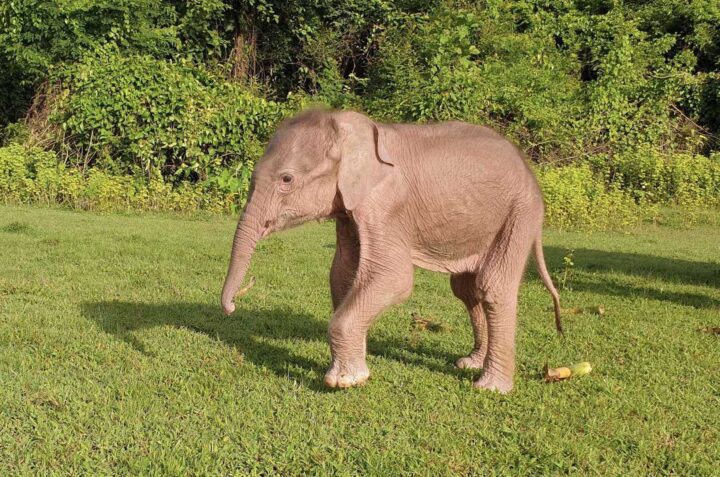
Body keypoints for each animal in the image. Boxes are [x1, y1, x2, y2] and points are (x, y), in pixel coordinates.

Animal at [219, 109, 564, 394]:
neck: (350, 129)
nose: (232, 307)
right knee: (466, 289)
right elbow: (342, 274)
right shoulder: (350, 210)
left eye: (287, 179)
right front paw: (354, 366)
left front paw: (344, 381)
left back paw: (490, 387)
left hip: (520, 213)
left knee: (493, 286)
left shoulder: (386, 206)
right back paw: (470, 363)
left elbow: (393, 277)